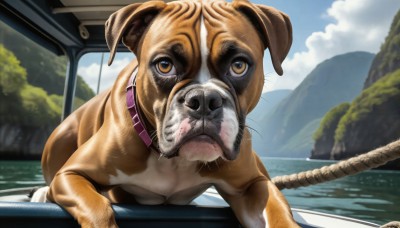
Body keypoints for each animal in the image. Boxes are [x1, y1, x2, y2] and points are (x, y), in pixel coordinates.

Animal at [37, 0, 298, 227]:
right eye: (164, 65)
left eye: (238, 65)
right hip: (60, 138)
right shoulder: (71, 174)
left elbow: (278, 212)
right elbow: (98, 208)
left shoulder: (252, 186)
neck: (176, 162)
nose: (204, 99)